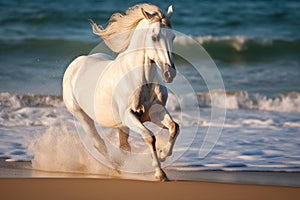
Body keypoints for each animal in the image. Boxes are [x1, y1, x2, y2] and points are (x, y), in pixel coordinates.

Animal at [61, 3, 178, 181]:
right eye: (154, 37)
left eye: (173, 37)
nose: (169, 73)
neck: (141, 78)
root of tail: (75, 64)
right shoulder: (129, 116)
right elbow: (150, 137)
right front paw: (160, 173)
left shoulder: (155, 112)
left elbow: (174, 127)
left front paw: (163, 154)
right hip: (82, 115)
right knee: (99, 143)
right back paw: (116, 168)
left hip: (120, 124)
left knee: (124, 146)